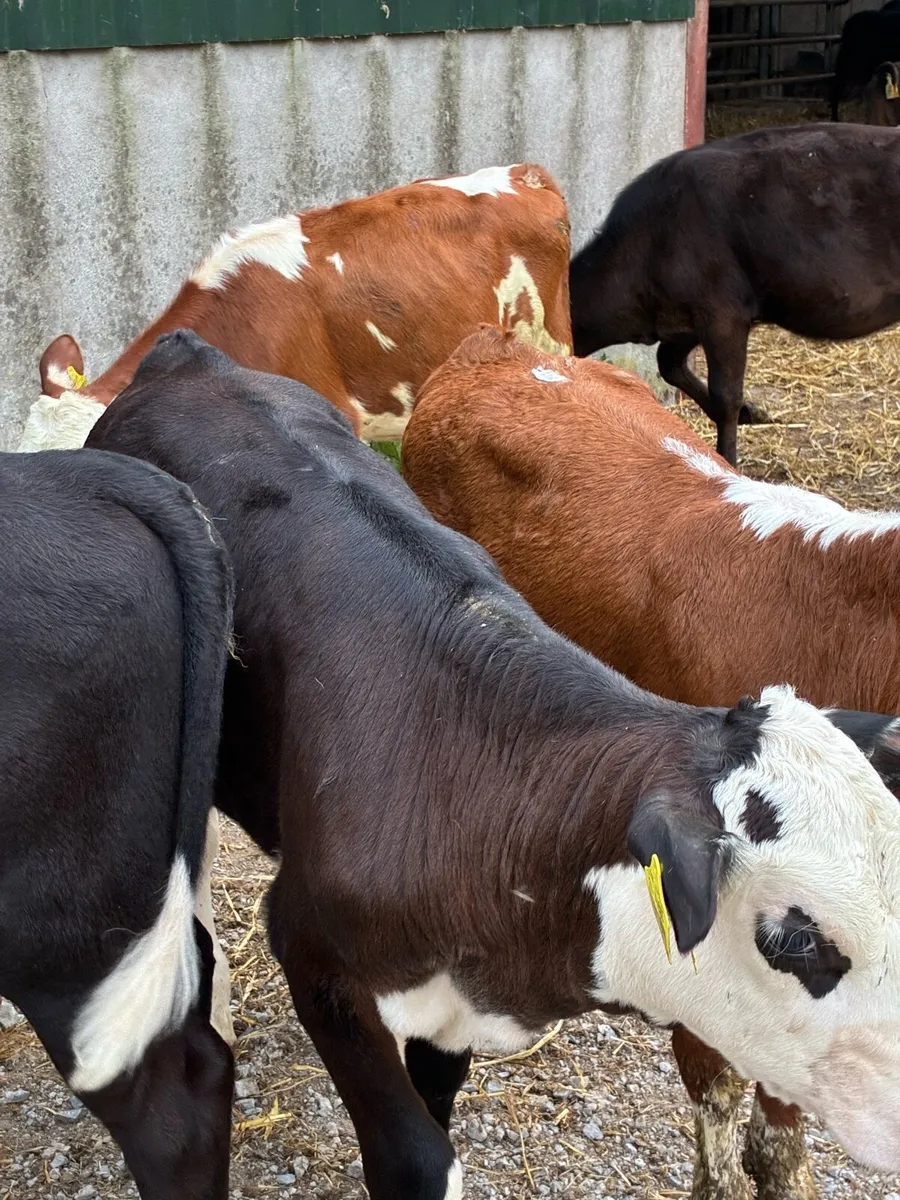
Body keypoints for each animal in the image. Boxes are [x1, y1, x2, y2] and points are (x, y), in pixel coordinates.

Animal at [568, 124, 900, 466]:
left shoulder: (723, 312)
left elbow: (725, 395)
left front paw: (728, 457)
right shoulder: (685, 317)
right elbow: (669, 364)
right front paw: (750, 413)